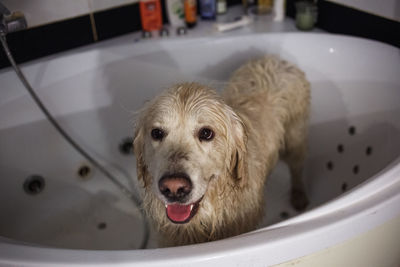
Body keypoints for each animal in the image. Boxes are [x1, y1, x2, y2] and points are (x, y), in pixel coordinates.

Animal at [133, 55, 310, 248]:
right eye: (156, 133)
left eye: (206, 133)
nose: (173, 187)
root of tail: (275, 59)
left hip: (294, 141)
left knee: (297, 167)